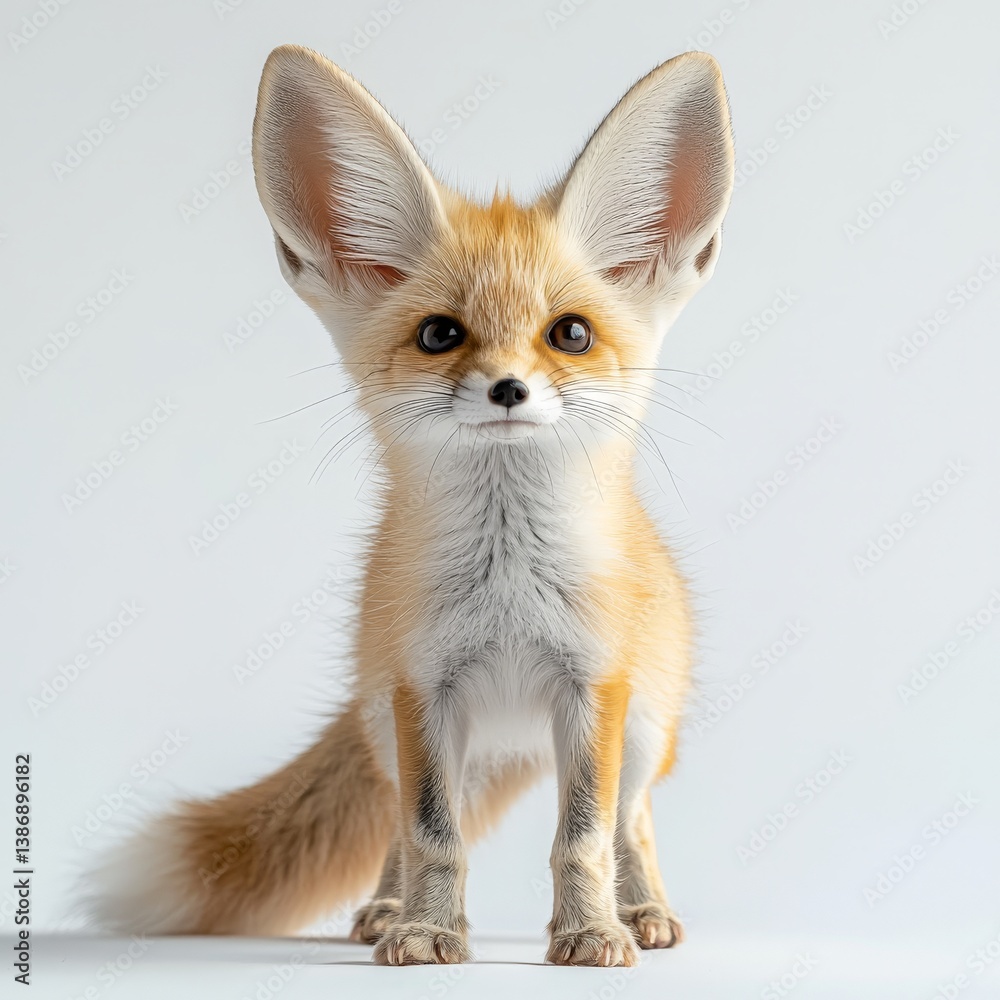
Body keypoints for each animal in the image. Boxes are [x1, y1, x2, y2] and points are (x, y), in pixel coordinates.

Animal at [84, 44, 735, 967]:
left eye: (570, 334)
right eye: (439, 335)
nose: (508, 389)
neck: (507, 595)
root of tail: (511, 741)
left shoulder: (591, 688)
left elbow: (582, 837)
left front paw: (589, 933)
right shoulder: (423, 691)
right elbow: (432, 835)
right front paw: (426, 930)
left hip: (645, 731)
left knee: (631, 823)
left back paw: (643, 909)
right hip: (388, 728)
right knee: (402, 823)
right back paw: (387, 910)